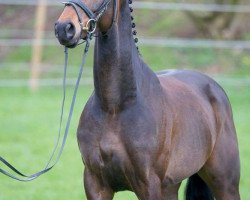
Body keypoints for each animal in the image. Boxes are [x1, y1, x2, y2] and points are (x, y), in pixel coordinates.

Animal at [54, 0, 240, 198]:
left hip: (225, 184)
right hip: (170, 186)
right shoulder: (95, 183)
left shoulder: (149, 185)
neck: (114, 107)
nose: (64, 28)